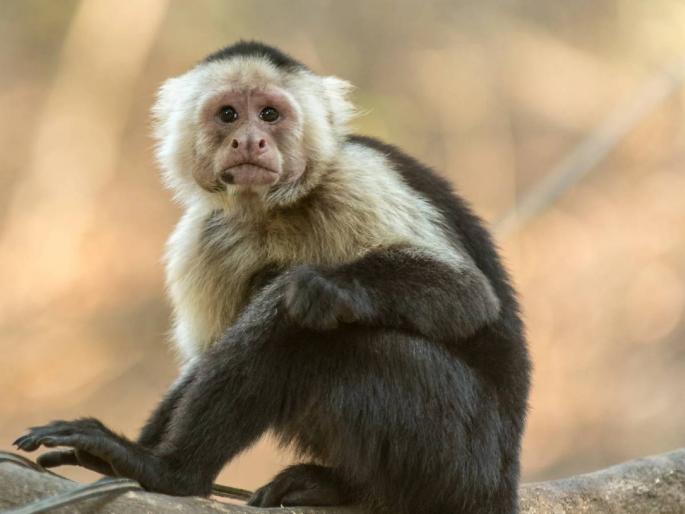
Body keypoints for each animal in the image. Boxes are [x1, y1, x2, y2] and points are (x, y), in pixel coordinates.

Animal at [14, 41, 530, 514]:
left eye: (269, 114)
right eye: (228, 115)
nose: (249, 141)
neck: (272, 209)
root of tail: (502, 481)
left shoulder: (357, 178)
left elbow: (468, 296)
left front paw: (326, 287)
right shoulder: (204, 236)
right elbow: (204, 357)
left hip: (464, 457)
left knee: (317, 329)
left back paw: (172, 472)